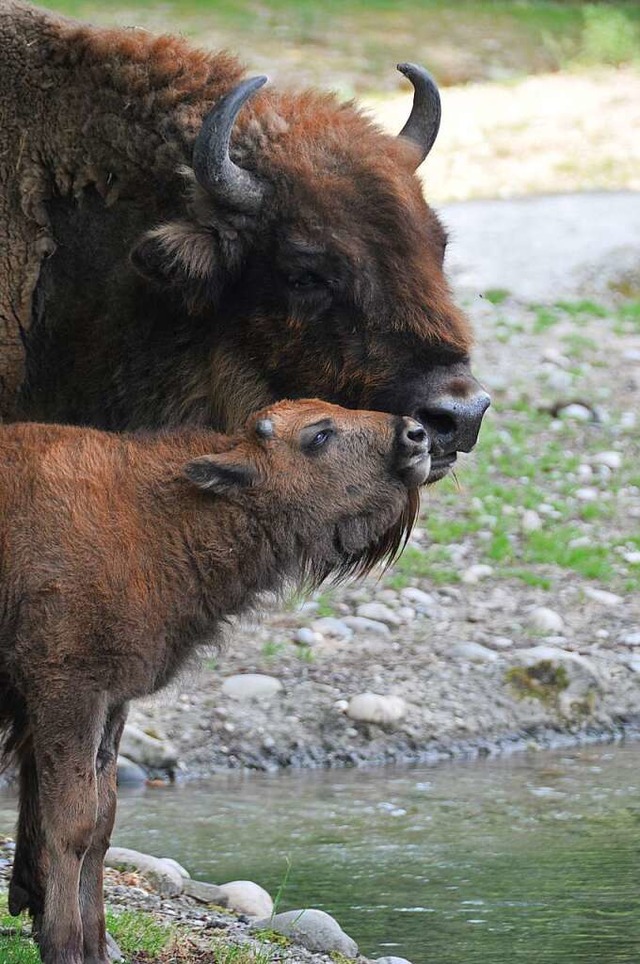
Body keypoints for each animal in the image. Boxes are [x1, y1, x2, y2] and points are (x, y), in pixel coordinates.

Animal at [1, 400, 430, 964]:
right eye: (318, 436)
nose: (417, 434)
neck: (156, 513)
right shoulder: (67, 691)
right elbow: (72, 822)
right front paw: (67, 946)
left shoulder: (113, 702)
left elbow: (103, 822)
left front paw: (96, 945)